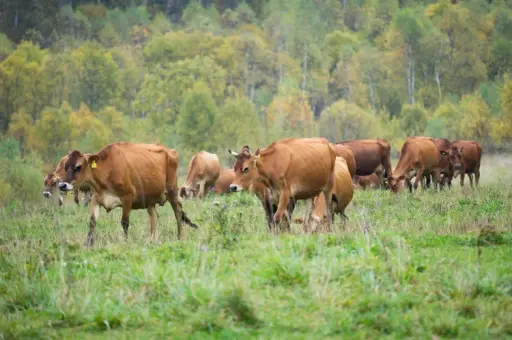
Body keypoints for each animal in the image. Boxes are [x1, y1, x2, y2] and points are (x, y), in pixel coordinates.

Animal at [57, 142, 198, 246]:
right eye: (65, 166)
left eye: (78, 166)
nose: (62, 185)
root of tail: (170, 150)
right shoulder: (96, 198)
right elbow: (92, 222)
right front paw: (88, 244)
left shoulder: (128, 197)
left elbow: (124, 222)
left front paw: (125, 242)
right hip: (149, 199)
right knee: (154, 217)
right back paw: (151, 240)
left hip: (172, 191)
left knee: (178, 214)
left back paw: (179, 237)